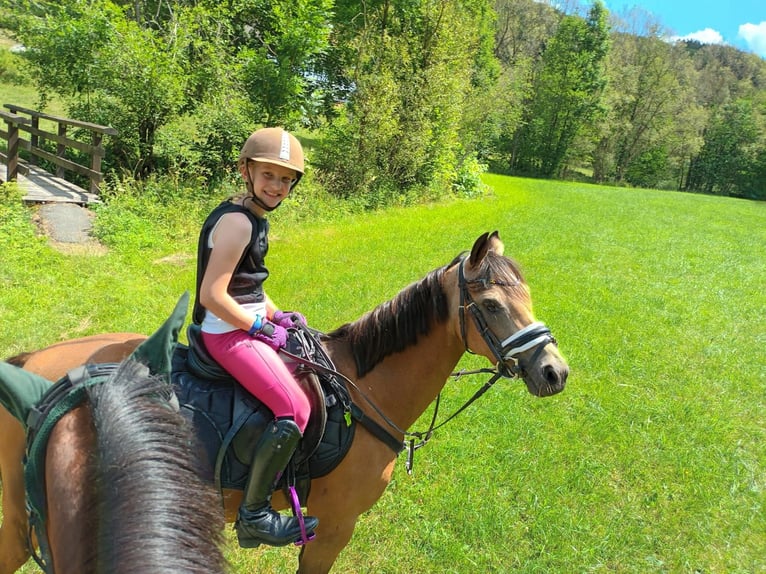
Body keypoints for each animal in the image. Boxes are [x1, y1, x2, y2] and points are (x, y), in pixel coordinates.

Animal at [0, 232, 568, 572]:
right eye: (491, 305)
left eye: (528, 296)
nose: (555, 372)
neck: (361, 392)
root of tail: (26, 365)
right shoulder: (334, 528)